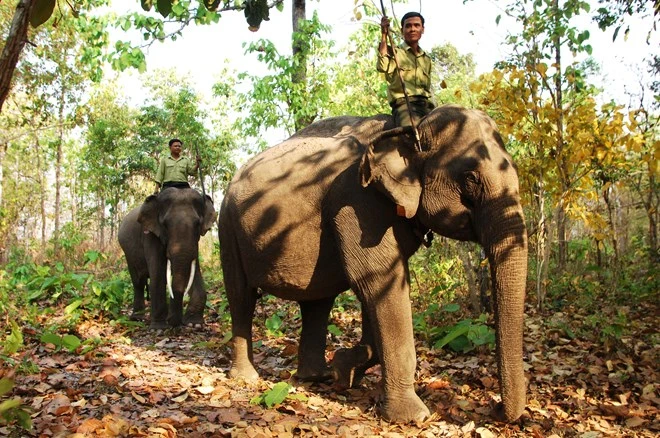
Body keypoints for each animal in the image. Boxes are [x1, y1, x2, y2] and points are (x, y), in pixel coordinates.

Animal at [118, 187, 217, 328]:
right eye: (165, 224)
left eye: (197, 223)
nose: (173, 322)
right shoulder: (150, 235)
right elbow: (158, 274)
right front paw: (158, 328)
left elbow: (193, 270)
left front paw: (194, 324)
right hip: (127, 253)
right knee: (138, 282)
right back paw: (138, 319)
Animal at [219, 104, 528, 422]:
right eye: (470, 178)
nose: (496, 408)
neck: (409, 126)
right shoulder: (356, 199)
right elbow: (376, 279)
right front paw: (412, 417)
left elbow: (380, 286)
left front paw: (344, 371)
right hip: (227, 226)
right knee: (241, 296)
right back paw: (247, 378)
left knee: (317, 302)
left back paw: (316, 377)